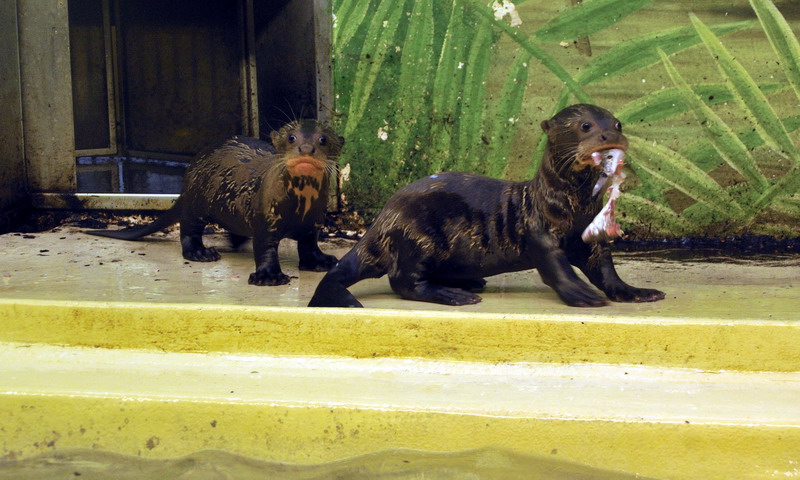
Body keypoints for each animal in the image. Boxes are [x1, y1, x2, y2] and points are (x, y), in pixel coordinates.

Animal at [87, 120, 343, 286]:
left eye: (323, 139)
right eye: (291, 138)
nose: (306, 148)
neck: (300, 209)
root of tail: (188, 180)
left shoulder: (313, 224)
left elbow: (309, 246)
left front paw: (321, 261)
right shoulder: (265, 220)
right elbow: (265, 248)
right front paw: (268, 276)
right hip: (196, 204)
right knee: (188, 229)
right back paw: (201, 252)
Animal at [308, 104, 665, 307]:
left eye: (617, 124)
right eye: (585, 126)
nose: (609, 136)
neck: (571, 208)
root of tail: (382, 220)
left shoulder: (589, 237)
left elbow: (605, 268)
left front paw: (634, 291)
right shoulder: (539, 231)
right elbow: (555, 266)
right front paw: (581, 293)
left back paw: (468, 282)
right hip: (417, 236)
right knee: (403, 281)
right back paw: (454, 295)